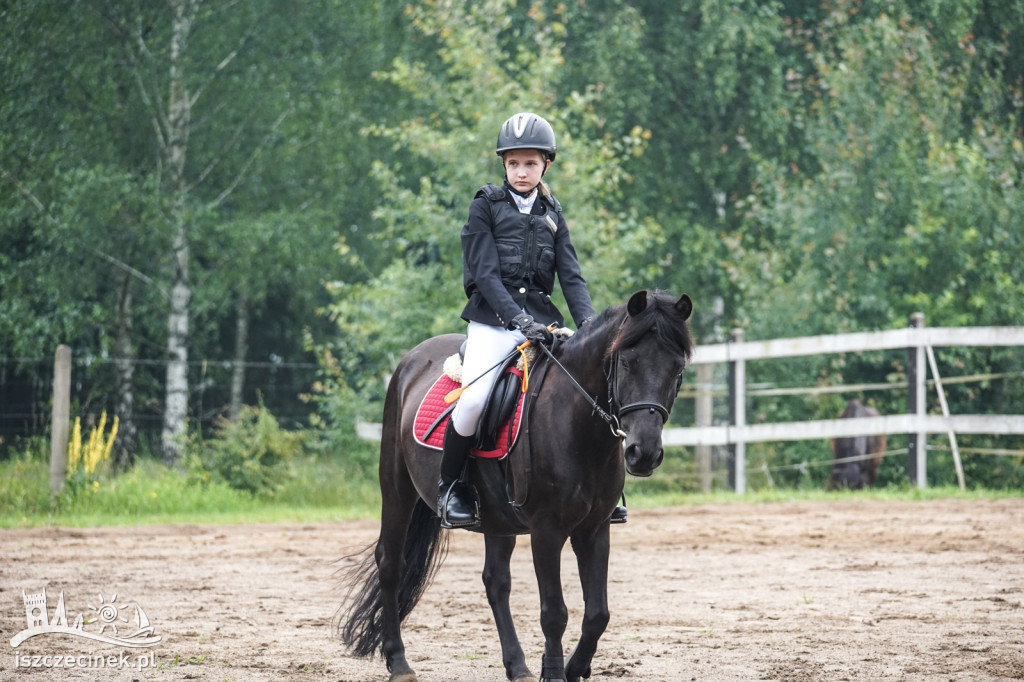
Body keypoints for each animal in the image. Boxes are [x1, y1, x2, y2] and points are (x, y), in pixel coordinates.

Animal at [335, 288, 696, 675]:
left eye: (677, 368)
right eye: (627, 362)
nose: (644, 453)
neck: (578, 425)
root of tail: (411, 360)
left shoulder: (595, 528)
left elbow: (598, 613)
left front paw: (574, 668)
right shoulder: (546, 529)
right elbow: (554, 613)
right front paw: (554, 673)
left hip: (496, 517)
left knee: (496, 582)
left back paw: (517, 666)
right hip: (397, 488)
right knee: (390, 563)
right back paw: (399, 662)